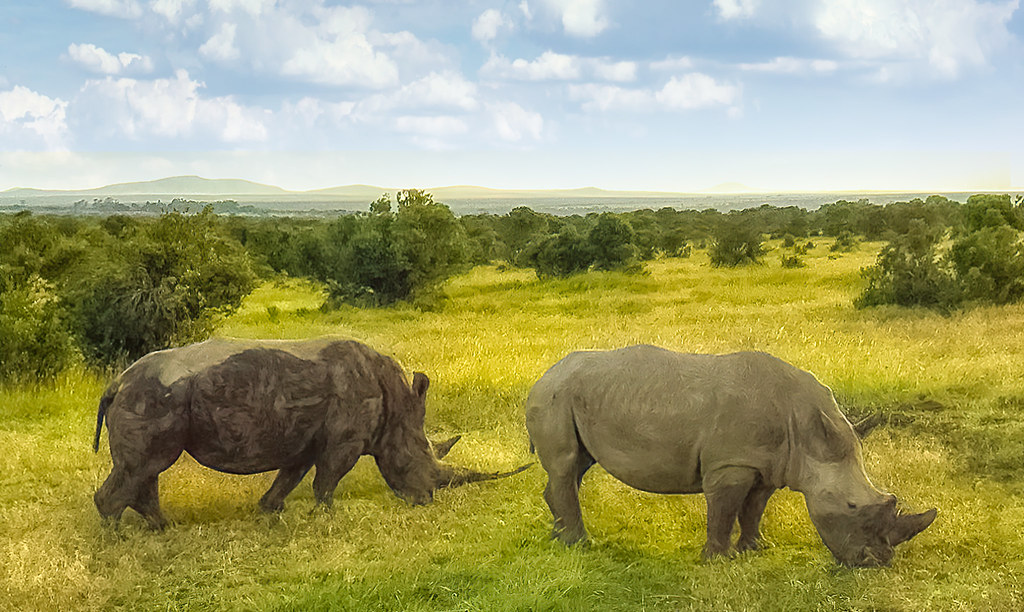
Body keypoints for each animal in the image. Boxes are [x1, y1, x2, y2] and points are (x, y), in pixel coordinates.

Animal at [93, 337, 529, 529]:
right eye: (415, 458)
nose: (425, 501)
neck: (396, 404)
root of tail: (115, 384)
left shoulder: (305, 438)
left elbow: (292, 475)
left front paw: (271, 510)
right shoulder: (345, 439)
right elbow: (328, 478)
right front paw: (326, 517)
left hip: (152, 397)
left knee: (147, 469)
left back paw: (162, 528)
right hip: (152, 398)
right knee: (145, 466)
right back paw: (117, 536)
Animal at [525, 345, 936, 567]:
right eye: (852, 507)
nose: (875, 563)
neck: (807, 433)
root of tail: (546, 372)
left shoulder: (768, 465)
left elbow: (754, 509)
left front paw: (757, 549)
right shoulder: (730, 464)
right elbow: (723, 511)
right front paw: (717, 560)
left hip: (571, 395)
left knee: (575, 469)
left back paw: (557, 535)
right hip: (554, 396)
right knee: (566, 466)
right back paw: (580, 544)